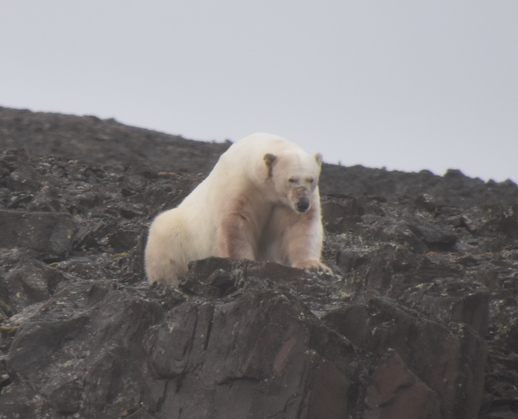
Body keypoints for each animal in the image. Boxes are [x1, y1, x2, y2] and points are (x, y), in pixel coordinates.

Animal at [145, 133, 334, 288]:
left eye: (311, 179)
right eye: (291, 179)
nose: (302, 204)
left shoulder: (288, 203)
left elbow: (301, 226)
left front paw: (314, 265)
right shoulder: (242, 184)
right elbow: (236, 220)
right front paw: (243, 261)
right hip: (176, 238)